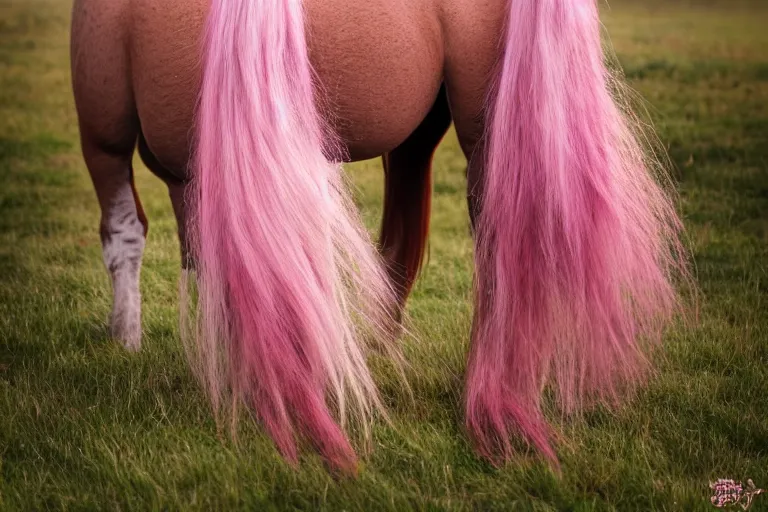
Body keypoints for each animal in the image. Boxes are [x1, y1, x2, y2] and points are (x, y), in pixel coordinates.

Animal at [69, 0, 688, 474]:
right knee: (410, 246)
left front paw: (132, 341)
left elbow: (131, 237)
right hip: (425, 133)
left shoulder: (111, 137)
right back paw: (390, 359)